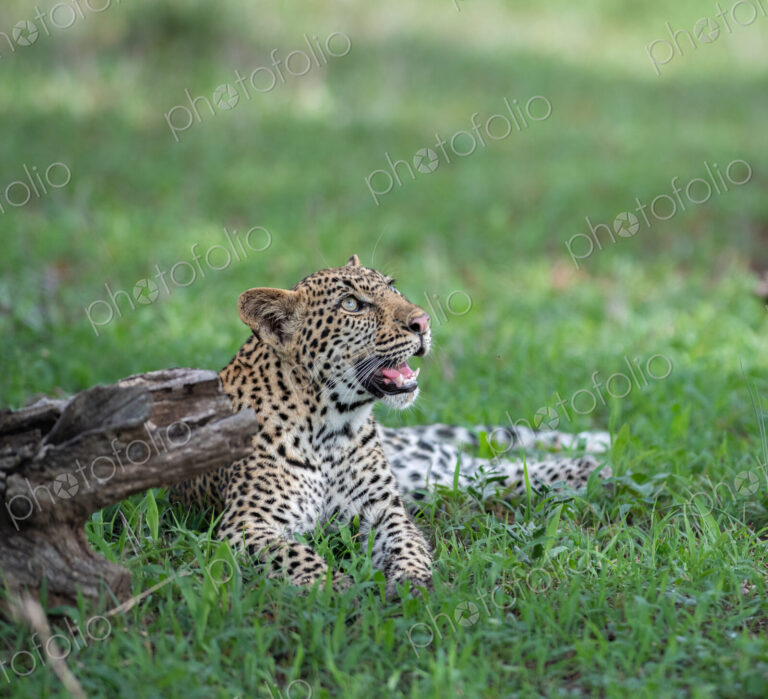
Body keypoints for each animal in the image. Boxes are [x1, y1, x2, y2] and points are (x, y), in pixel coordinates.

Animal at [172, 255, 611, 595]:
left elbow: (407, 544)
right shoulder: (248, 524)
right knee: (487, 475)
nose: (423, 322)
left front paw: (414, 582)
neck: (331, 426)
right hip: (427, 481)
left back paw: (593, 466)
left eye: (392, 287)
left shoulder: (383, 510)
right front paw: (338, 590)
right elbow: (296, 556)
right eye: (352, 304)